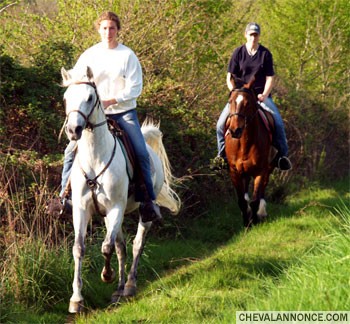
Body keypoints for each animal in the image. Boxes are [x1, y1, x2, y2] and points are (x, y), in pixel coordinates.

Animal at [61, 66, 180, 314]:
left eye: (90, 97)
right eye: (66, 98)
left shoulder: (116, 207)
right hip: (109, 216)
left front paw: (106, 276)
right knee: (121, 248)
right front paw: (76, 299)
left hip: (142, 213)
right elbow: (79, 249)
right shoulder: (81, 210)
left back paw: (130, 286)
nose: (73, 130)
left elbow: (106, 247)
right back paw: (119, 288)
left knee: (136, 245)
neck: (95, 158)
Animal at [224, 76, 276, 228]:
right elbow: (241, 200)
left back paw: (262, 212)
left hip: (269, 167)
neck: (244, 143)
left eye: (247, 103)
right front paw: (246, 221)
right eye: (230, 102)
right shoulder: (234, 171)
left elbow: (255, 200)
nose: (235, 130)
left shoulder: (260, 171)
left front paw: (254, 220)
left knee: (263, 188)